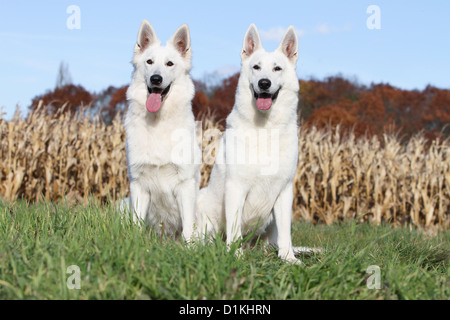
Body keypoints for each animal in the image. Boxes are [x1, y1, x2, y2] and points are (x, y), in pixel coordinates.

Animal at [122, 21, 201, 241]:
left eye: (170, 64)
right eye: (149, 62)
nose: (156, 79)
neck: (158, 122)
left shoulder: (185, 184)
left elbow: (187, 228)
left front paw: (189, 246)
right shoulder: (138, 184)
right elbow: (136, 222)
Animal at [196, 24, 320, 264]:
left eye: (277, 68)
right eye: (256, 67)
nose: (264, 83)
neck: (265, 127)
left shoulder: (284, 191)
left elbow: (286, 231)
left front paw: (288, 258)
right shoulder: (236, 187)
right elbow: (234, 227)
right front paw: (235, 255)